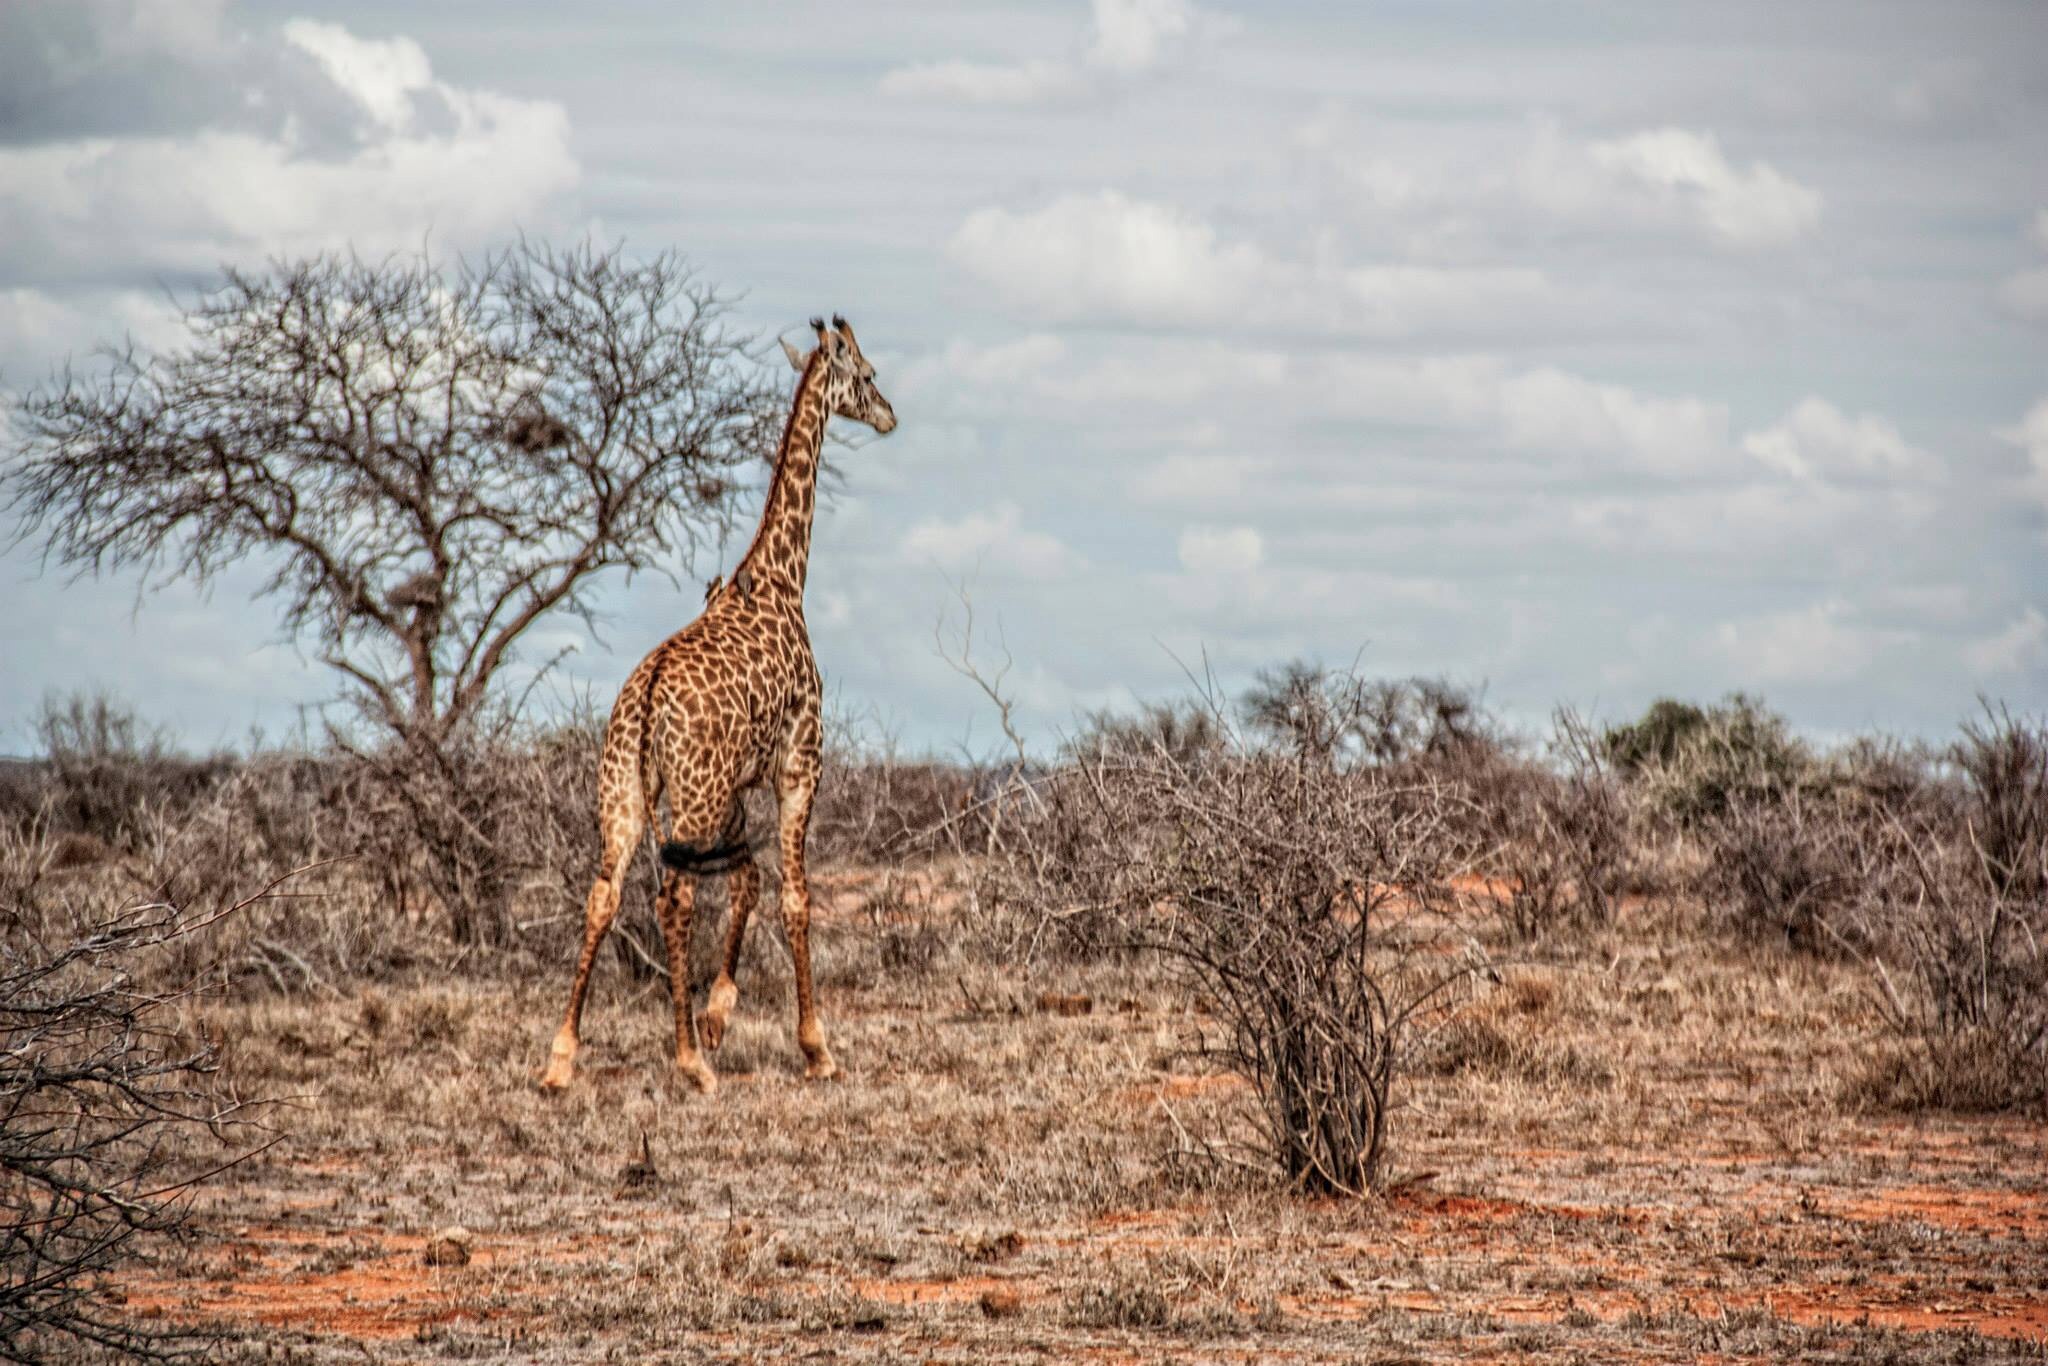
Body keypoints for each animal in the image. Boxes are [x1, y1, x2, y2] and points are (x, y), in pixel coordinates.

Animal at [540, 316, 896, 1094]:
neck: (781, 579)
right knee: (673, 900)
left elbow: (751, 882)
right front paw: (815, 1048)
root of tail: (644, 703)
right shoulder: (798, 764)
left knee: (604, 895)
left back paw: (561, 1057)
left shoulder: (736, 786)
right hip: (693, 798)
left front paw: (718, 1012)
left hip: (627, 793)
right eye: (867, 374)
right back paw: (689, 1063)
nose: (890, 415)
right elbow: (793, 895)